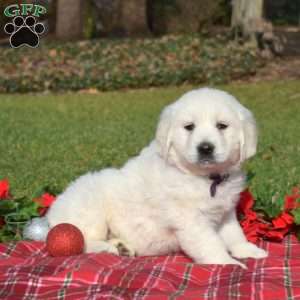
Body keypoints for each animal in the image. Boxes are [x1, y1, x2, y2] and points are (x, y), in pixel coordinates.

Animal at [41, 87, 268, 268]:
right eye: (189, 127)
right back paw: (108, 248)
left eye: (222, 126)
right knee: (82, 240)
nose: (205, 148)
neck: (205, 178)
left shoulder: (225, 211)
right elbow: (210, 243)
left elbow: (233, 233)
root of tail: (52, 212)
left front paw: (248, 250)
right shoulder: (190, 219)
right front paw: (228, 263)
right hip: (90, 206)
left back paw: (122, 246)